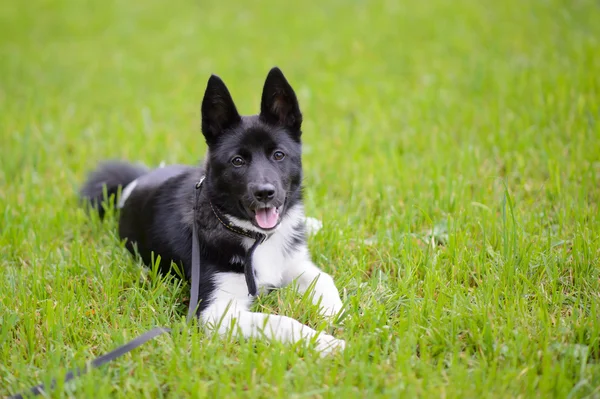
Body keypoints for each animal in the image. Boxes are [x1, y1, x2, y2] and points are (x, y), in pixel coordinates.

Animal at [83, 67, 346, 354]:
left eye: (279, 155)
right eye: (238, 161)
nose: (265, 193)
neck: (255, 237)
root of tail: (136, 181)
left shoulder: (295, 264)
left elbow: (324, 278)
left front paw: (333, 314)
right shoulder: (216, 313)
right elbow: (279, 321)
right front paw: (323, 341)